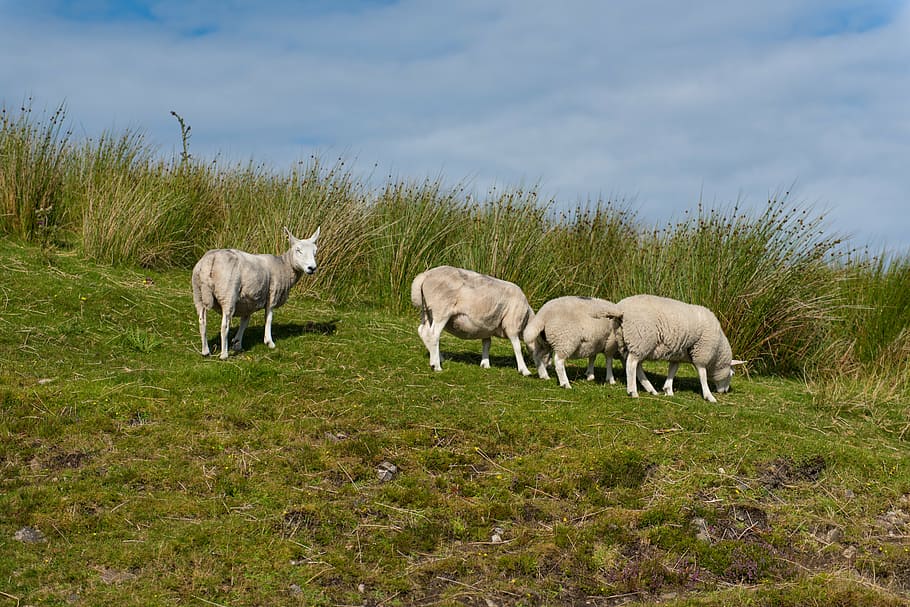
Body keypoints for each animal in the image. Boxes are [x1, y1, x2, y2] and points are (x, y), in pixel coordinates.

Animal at [191, 227, 320, 359]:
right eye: (298, 250)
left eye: (315, 251)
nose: (312, 268)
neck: (284, 266)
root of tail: (210, 261)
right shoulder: (272, 295)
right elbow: (268, 318)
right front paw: (269, 342)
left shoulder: (248, 301)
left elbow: (245, 321)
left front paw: (237, 344)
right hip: (228, 293)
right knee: (224, 326)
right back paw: (224, 354)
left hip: (198, 294)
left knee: (202, 321)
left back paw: (205, 351)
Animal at [613, 294, 743, 402]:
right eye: (732, 374)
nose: (725, 391)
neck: (717, 353)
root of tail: (621, 308)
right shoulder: (702, 352)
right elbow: (703, 375)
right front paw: (709, 396)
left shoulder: (677, 355)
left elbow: (673, 370)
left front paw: (668, 390)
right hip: (641, 339)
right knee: (631, 364)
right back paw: (633, 391)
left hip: (633, 342)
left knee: (636, 365)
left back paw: (651, 390)